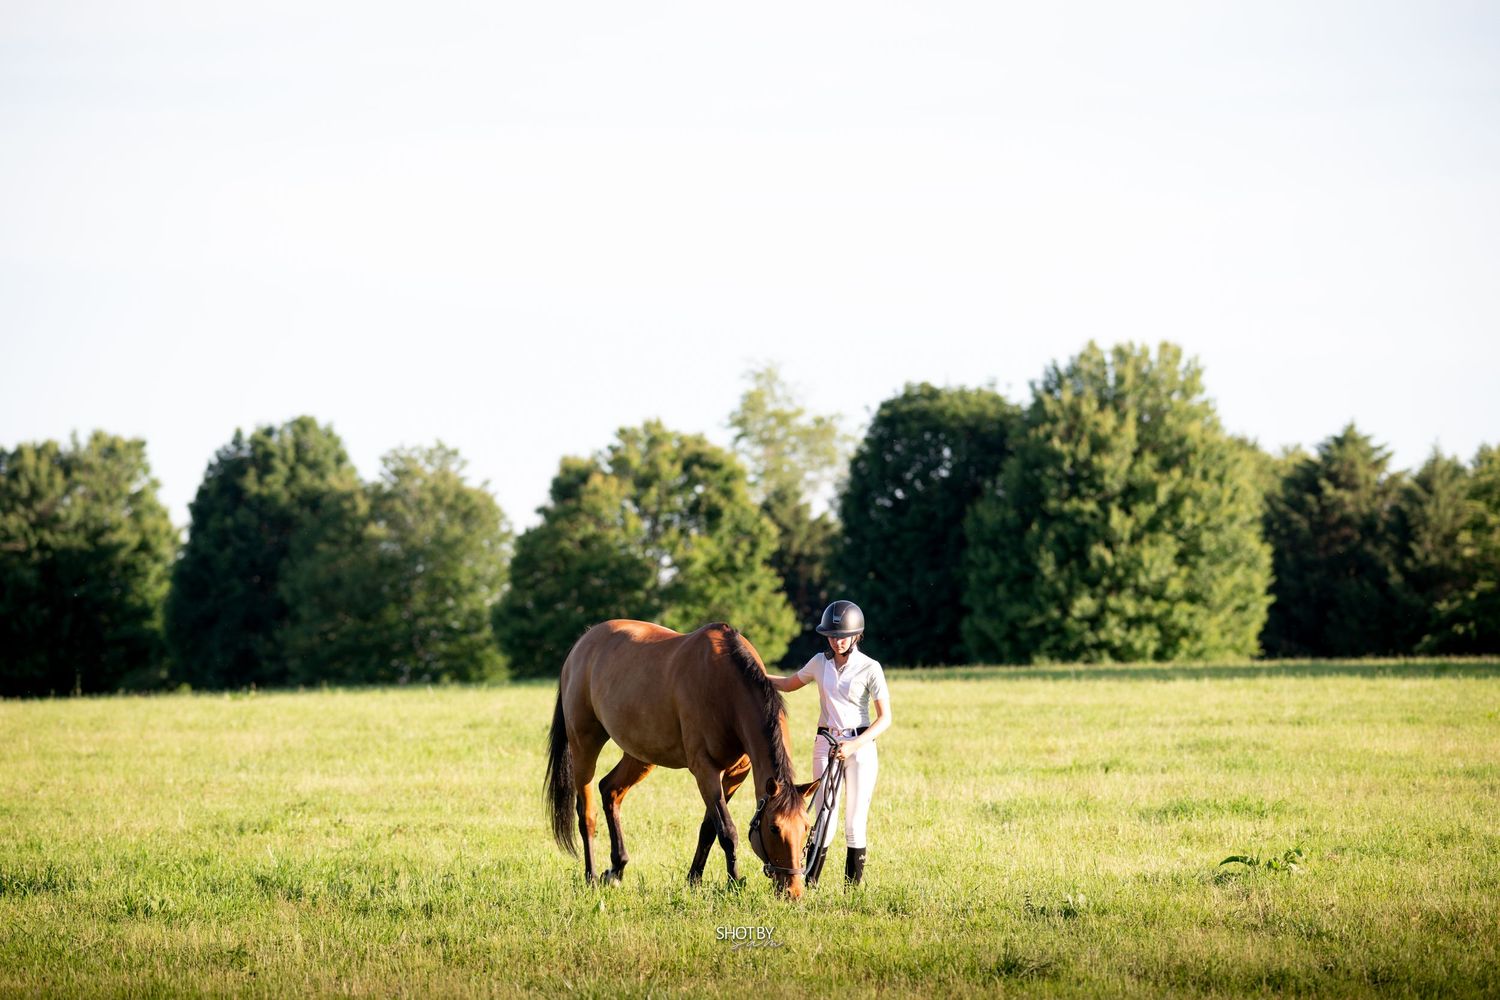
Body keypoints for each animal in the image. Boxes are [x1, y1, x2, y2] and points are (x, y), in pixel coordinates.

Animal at [544, 619, 821, 897]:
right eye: (774, 827)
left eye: (806, 827)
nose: (794, 890)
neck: (726, 686)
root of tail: (582, 644)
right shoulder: (705, 770)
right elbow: (727, 831)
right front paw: (733, 883)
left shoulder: (736, 774)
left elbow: (709, 828)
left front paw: (694, 879)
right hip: (584, 745)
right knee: (587, 814)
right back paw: (590, 876)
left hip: (640, 755)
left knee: (610, 790)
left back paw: (616, 870)